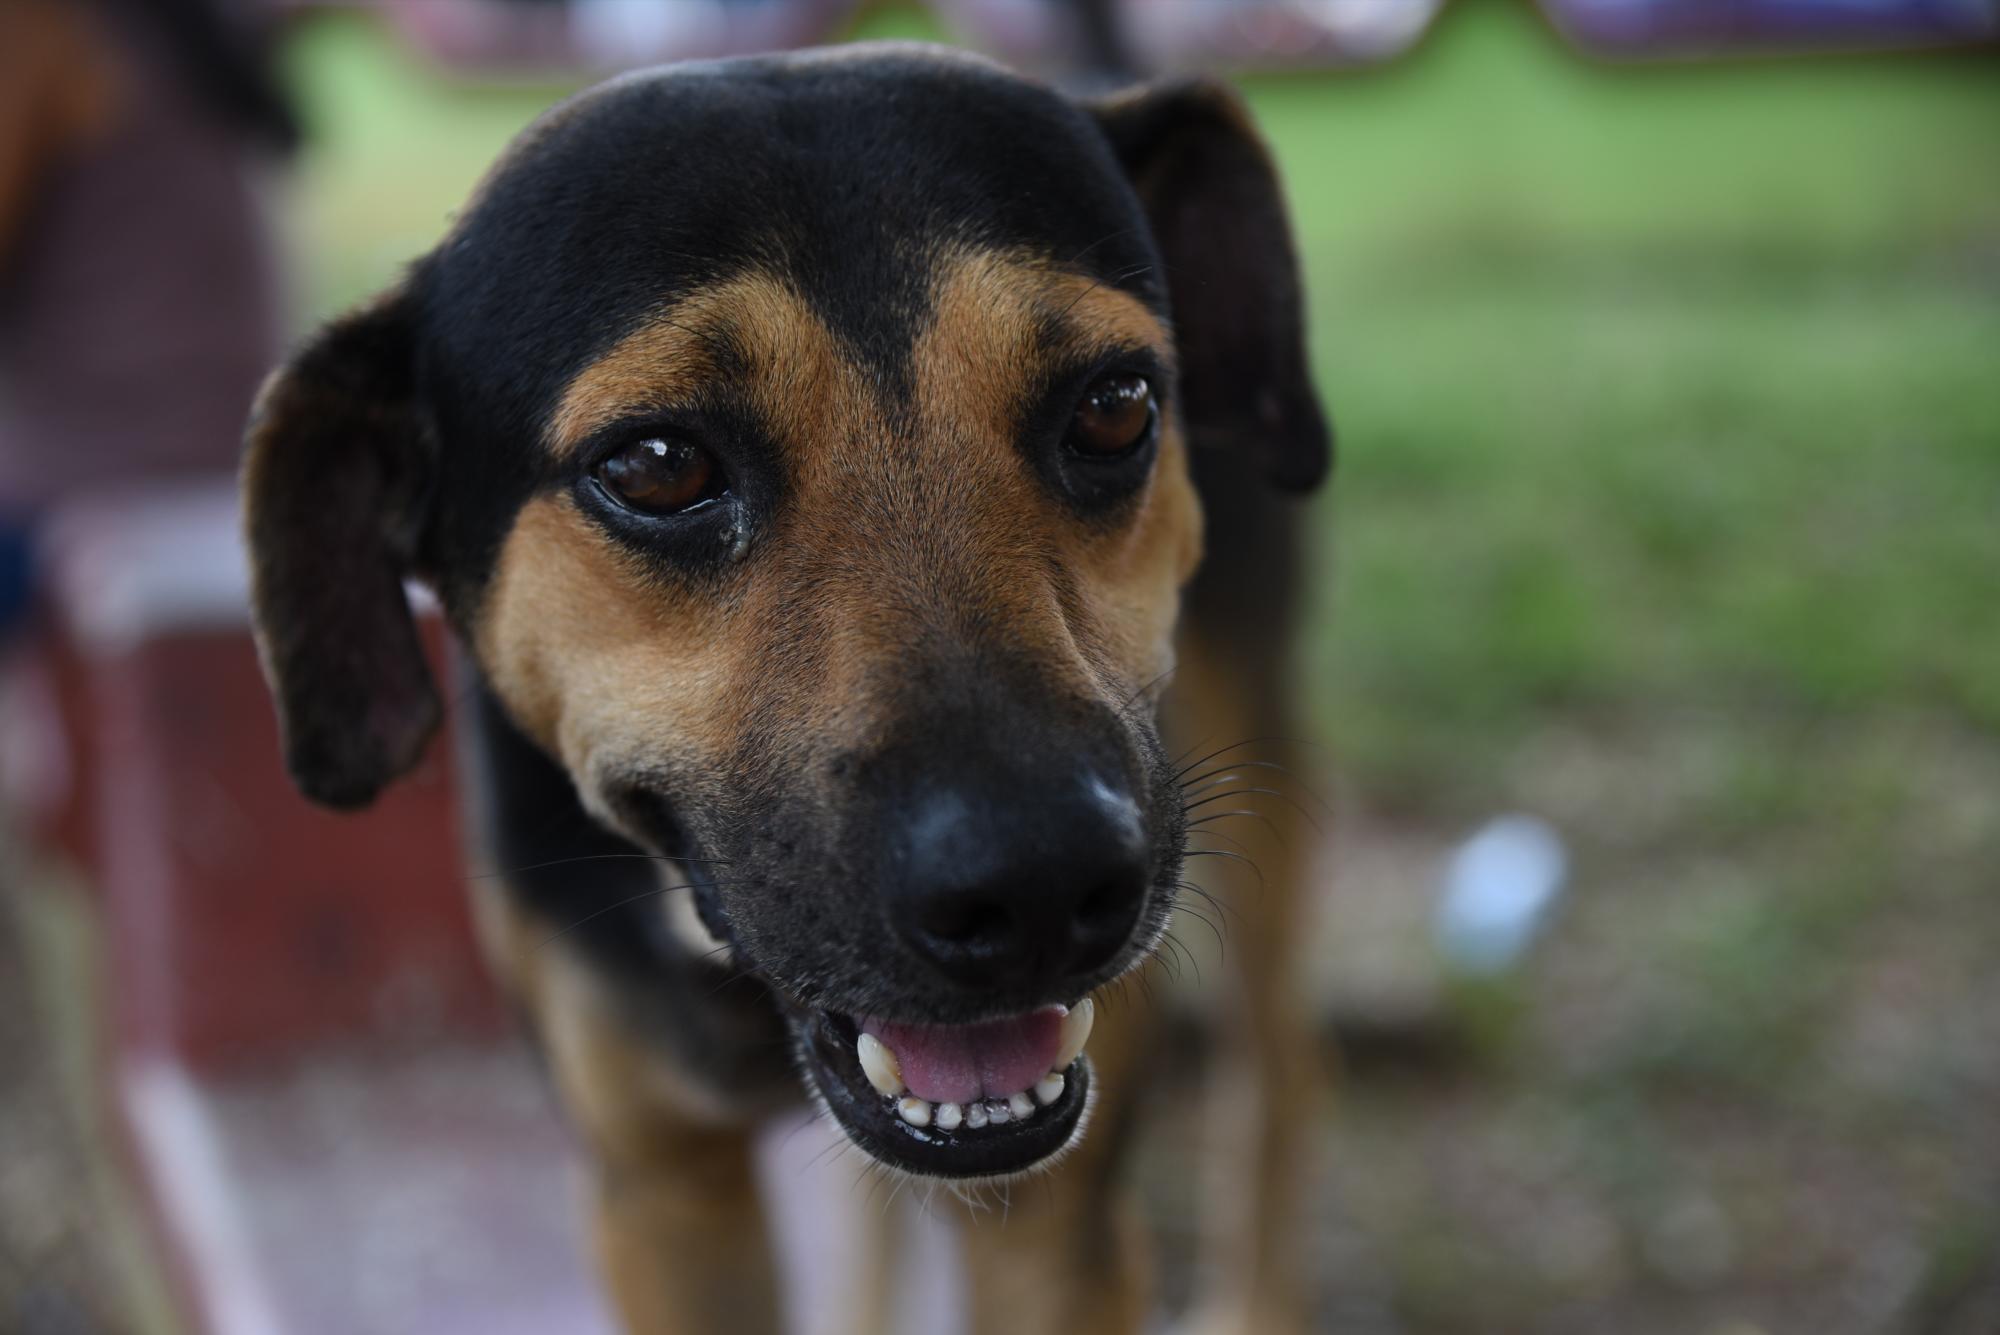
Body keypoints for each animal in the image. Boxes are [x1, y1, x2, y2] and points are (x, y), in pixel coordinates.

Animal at [238, 44, 1328, 1335]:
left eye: (1114, 405)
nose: (1039, 887)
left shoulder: (1057, 1228)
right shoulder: (662, 1193)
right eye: (657, 466)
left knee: (1280, 1077)